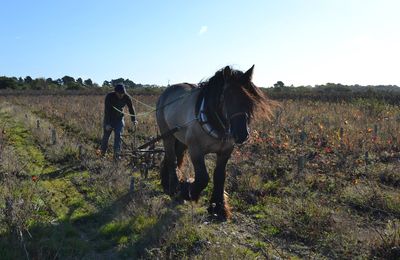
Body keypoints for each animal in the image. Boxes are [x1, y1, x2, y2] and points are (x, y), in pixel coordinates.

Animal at [155, 65, 272, 219]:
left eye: (250, 99)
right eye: (226, 98)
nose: (241, 134)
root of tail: (166, 92)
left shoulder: (225, 151)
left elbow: (220, 176)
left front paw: (218, 207)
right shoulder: (196, 150)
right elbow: (203, 178)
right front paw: (187, 191)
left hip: (180, 138)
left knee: (175, 157)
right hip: (167, 135)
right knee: (171, 159)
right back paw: (173, 187)